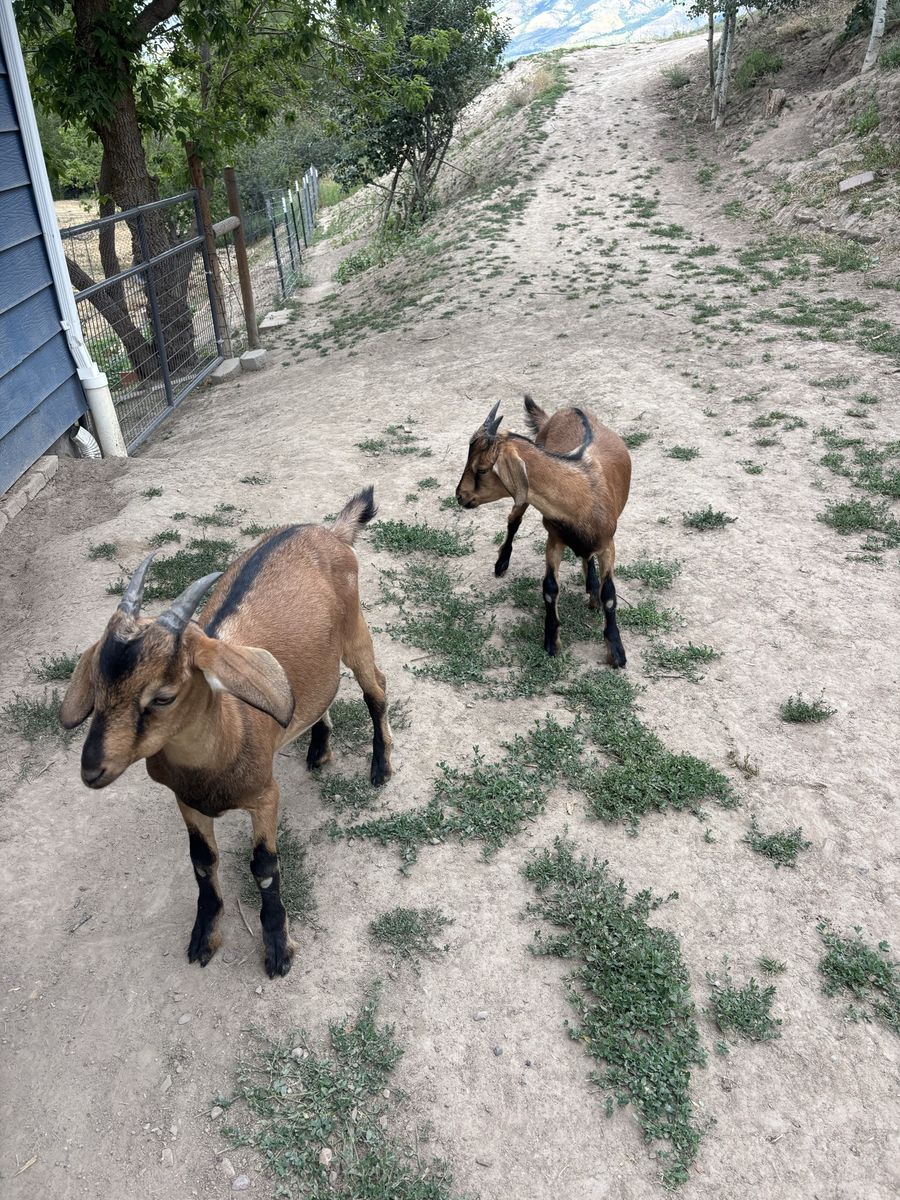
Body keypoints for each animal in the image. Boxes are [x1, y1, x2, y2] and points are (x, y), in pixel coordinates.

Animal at [59, 487, 391, 978]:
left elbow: (265, 866)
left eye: (163, 696)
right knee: (321, 693)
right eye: (97, 685)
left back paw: (381, 765)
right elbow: (202, 863)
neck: (227, 734)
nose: (92, 768)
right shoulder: (187, 801)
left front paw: (278, 949)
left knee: (376, 688)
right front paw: (203, 936)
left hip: (356, 631)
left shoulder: (265, 795)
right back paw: (318, 749)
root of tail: (329, 531)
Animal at [456, 396, 631, 666]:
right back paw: (501, 563)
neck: (580, 494)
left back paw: (591, 588)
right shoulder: (554, 539)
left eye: (482, 469)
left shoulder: (607, 544)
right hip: (523, 498)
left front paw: (616, 651)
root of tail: (569, 410)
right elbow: (549, 588)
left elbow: (609, 595)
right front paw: (551, 641)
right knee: (513, 521)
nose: (460, 496)